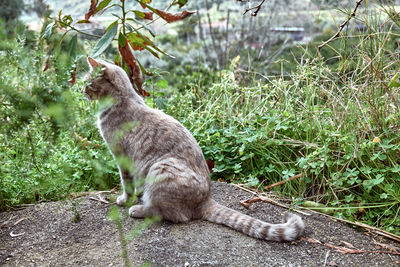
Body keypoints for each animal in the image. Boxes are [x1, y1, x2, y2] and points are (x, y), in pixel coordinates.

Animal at [83, 57, 304, 242]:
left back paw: (140, 209)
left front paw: (125, 200)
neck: (122, 99)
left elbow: (125, 182)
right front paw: (135, 193)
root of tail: (206, 199)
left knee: (171, 215)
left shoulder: (121, 156)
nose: (81, 90)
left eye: (88, 82)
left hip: (161, 168)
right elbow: (134, 183)